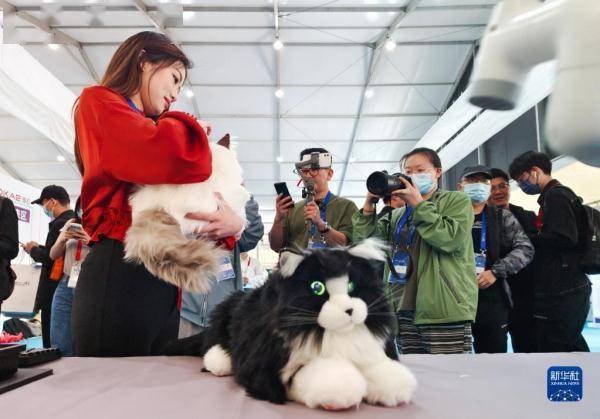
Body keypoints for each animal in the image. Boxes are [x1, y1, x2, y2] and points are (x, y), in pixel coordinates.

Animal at [164, 240, 418, 410]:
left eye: (351, 286)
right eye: (317, 288)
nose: (350, 311)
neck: (328, 334)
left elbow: (380, 371)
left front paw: (392, 388)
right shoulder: (273, 370)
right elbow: (323, 377)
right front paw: (340, 393)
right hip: (223, 329)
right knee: (214, 349)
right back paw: (221, 363)